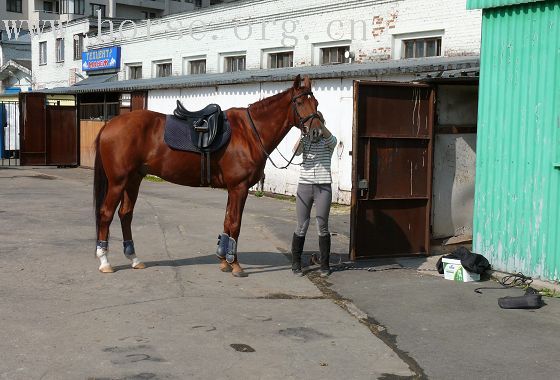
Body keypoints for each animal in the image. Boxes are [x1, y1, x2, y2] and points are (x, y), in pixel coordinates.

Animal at [92, 75, 320, 276]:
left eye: (316, 102)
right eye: (300, 102)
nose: (316, 132)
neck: (249, 133)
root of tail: (109, 125)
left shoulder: (233, 189)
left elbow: (227, 221)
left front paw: (223, 260)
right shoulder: (239, 188)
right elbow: (235, 224)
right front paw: (235, 265)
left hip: (133, 180)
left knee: (125, 214)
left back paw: (134, 259)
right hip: (118, 182)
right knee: (106, 214)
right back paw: (104, 261)